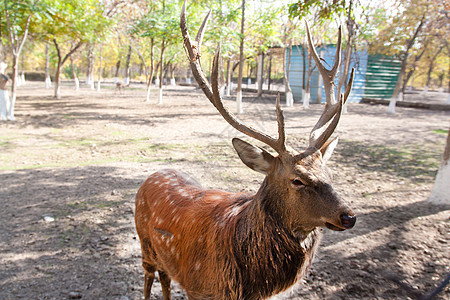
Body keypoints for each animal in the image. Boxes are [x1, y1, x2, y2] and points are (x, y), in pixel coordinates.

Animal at [134, 1, 356, 298]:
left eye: (330, 174)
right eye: (297, 180)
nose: (349, 216)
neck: (249, 285)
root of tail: (153, 175)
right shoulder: (198, 287)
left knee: (165, 277)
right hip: (145, 244)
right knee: (150, 277)